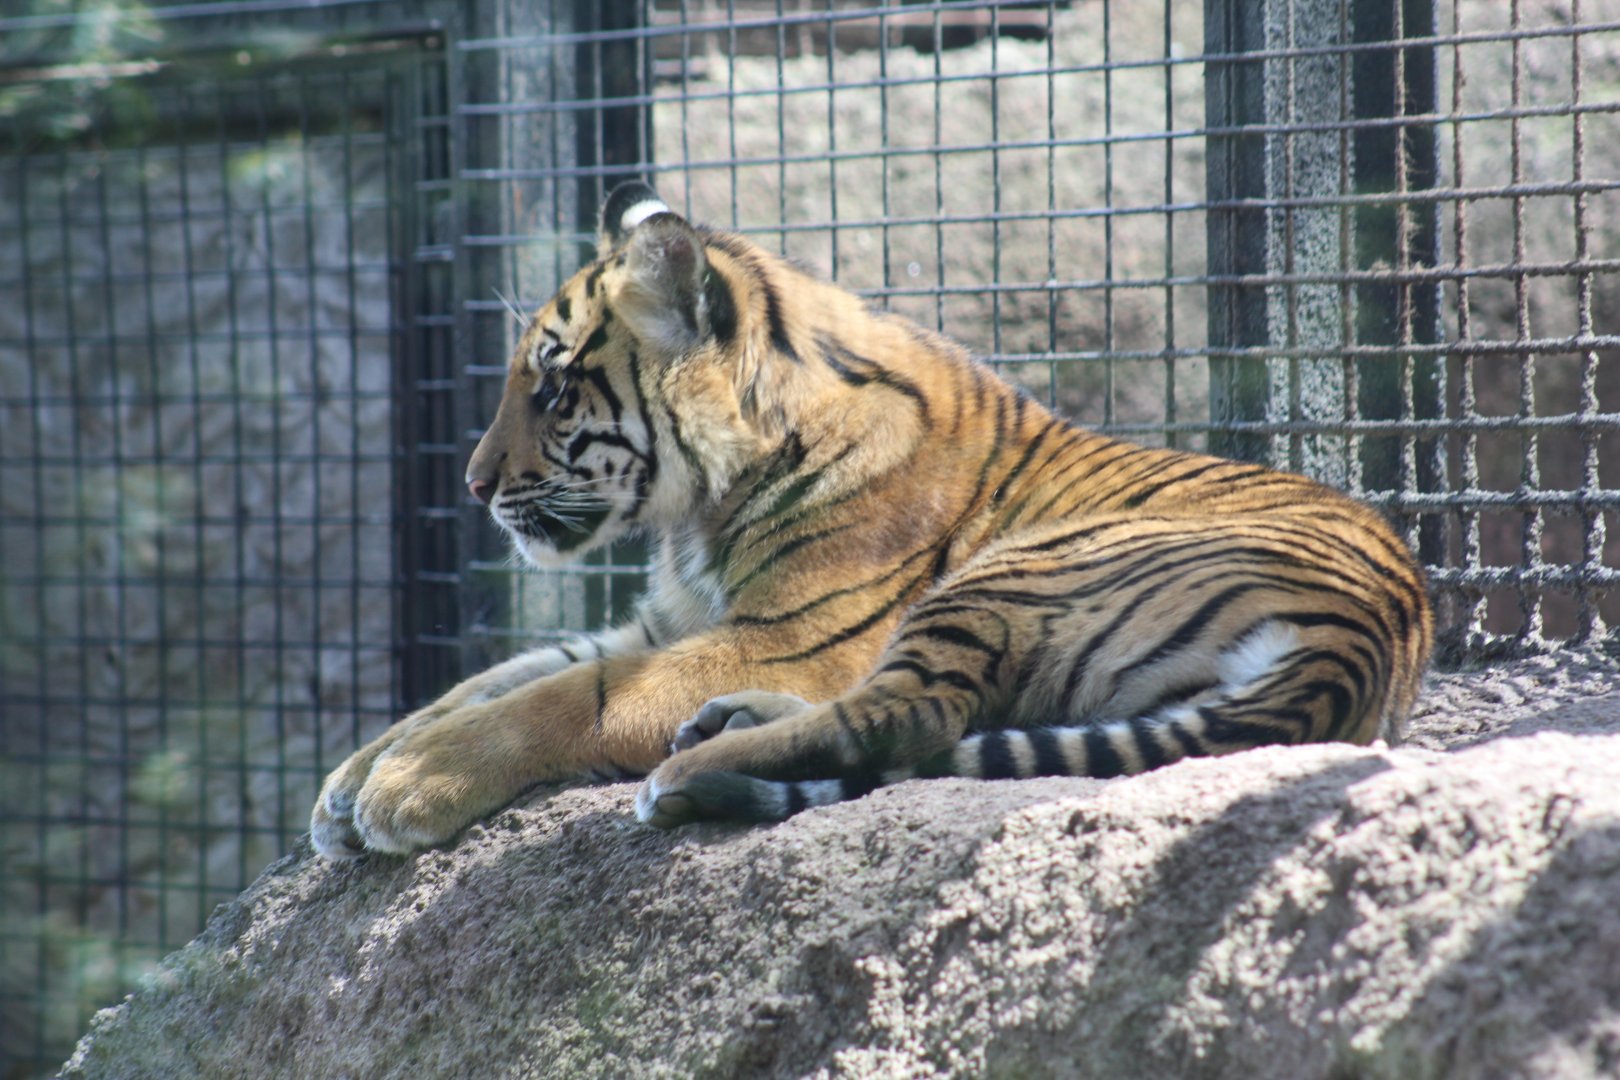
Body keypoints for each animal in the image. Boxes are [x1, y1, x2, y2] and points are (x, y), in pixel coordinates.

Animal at [309, 181, 1432, 859]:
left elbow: (560, 697)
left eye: (549, 389)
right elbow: (486, 681)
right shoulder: (664, 625)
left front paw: (410, 784)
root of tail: (1362, 642)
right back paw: (726, 728)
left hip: (1015, 571)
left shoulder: (792, 636)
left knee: (910, 712)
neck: (701, 506)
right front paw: (350, 780)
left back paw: (688, 767)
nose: (471, 484)